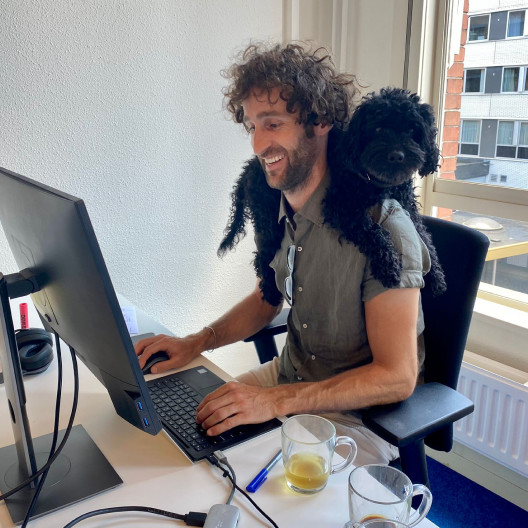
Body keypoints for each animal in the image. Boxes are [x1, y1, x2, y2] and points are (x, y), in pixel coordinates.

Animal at [219, 85, 446, 306]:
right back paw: (269, 291)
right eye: (378, 128)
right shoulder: (338, 206)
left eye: (412, 130)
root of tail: (251, 167)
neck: (375, 183)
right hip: (267, 219)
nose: (397, 155)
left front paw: (436, 274)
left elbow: (424, 236)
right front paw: (388, 264)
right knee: (263, 256)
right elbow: (372, 231)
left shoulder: (408, 207)